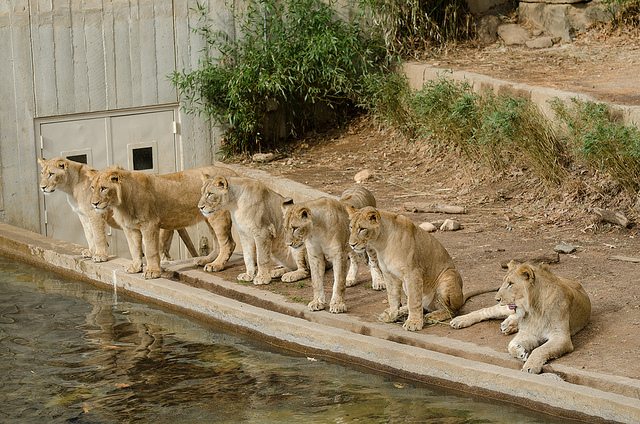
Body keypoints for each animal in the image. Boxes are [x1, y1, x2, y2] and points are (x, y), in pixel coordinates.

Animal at [38, 157, 198, 263]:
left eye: (51, 174)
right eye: (42, 173)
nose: (42, 187)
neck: (70, 187)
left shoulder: (95, 214)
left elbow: (98, 236)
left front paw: (100, 255)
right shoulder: (82, 215)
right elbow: (88, 234)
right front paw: (90, 252)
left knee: (162, 253)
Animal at [90, 164, 237, 279]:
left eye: (103, 188)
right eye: (92, 187)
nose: (94, 204)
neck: (121, 202)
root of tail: (234, 173)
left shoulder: (149, 224)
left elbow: (150, 250)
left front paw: (152, 272)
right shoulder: (130, 228)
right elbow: (134, 249)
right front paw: (136, 267)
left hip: (218, 216)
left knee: (228, 243)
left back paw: (217, 265)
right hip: (208, 216)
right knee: (218, 243)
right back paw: (205, 260)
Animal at [450, 261, 591, 374]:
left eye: (510, 284)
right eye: (503, 282)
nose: (497, 298)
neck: (534, 309)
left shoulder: (561, 337)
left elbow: (540, 350)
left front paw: (530, 365)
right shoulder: (529, 331)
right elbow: (510, 345)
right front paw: (521, 352)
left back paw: (508, 325)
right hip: (504, 308)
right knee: (485, 311)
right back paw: (459, 320)